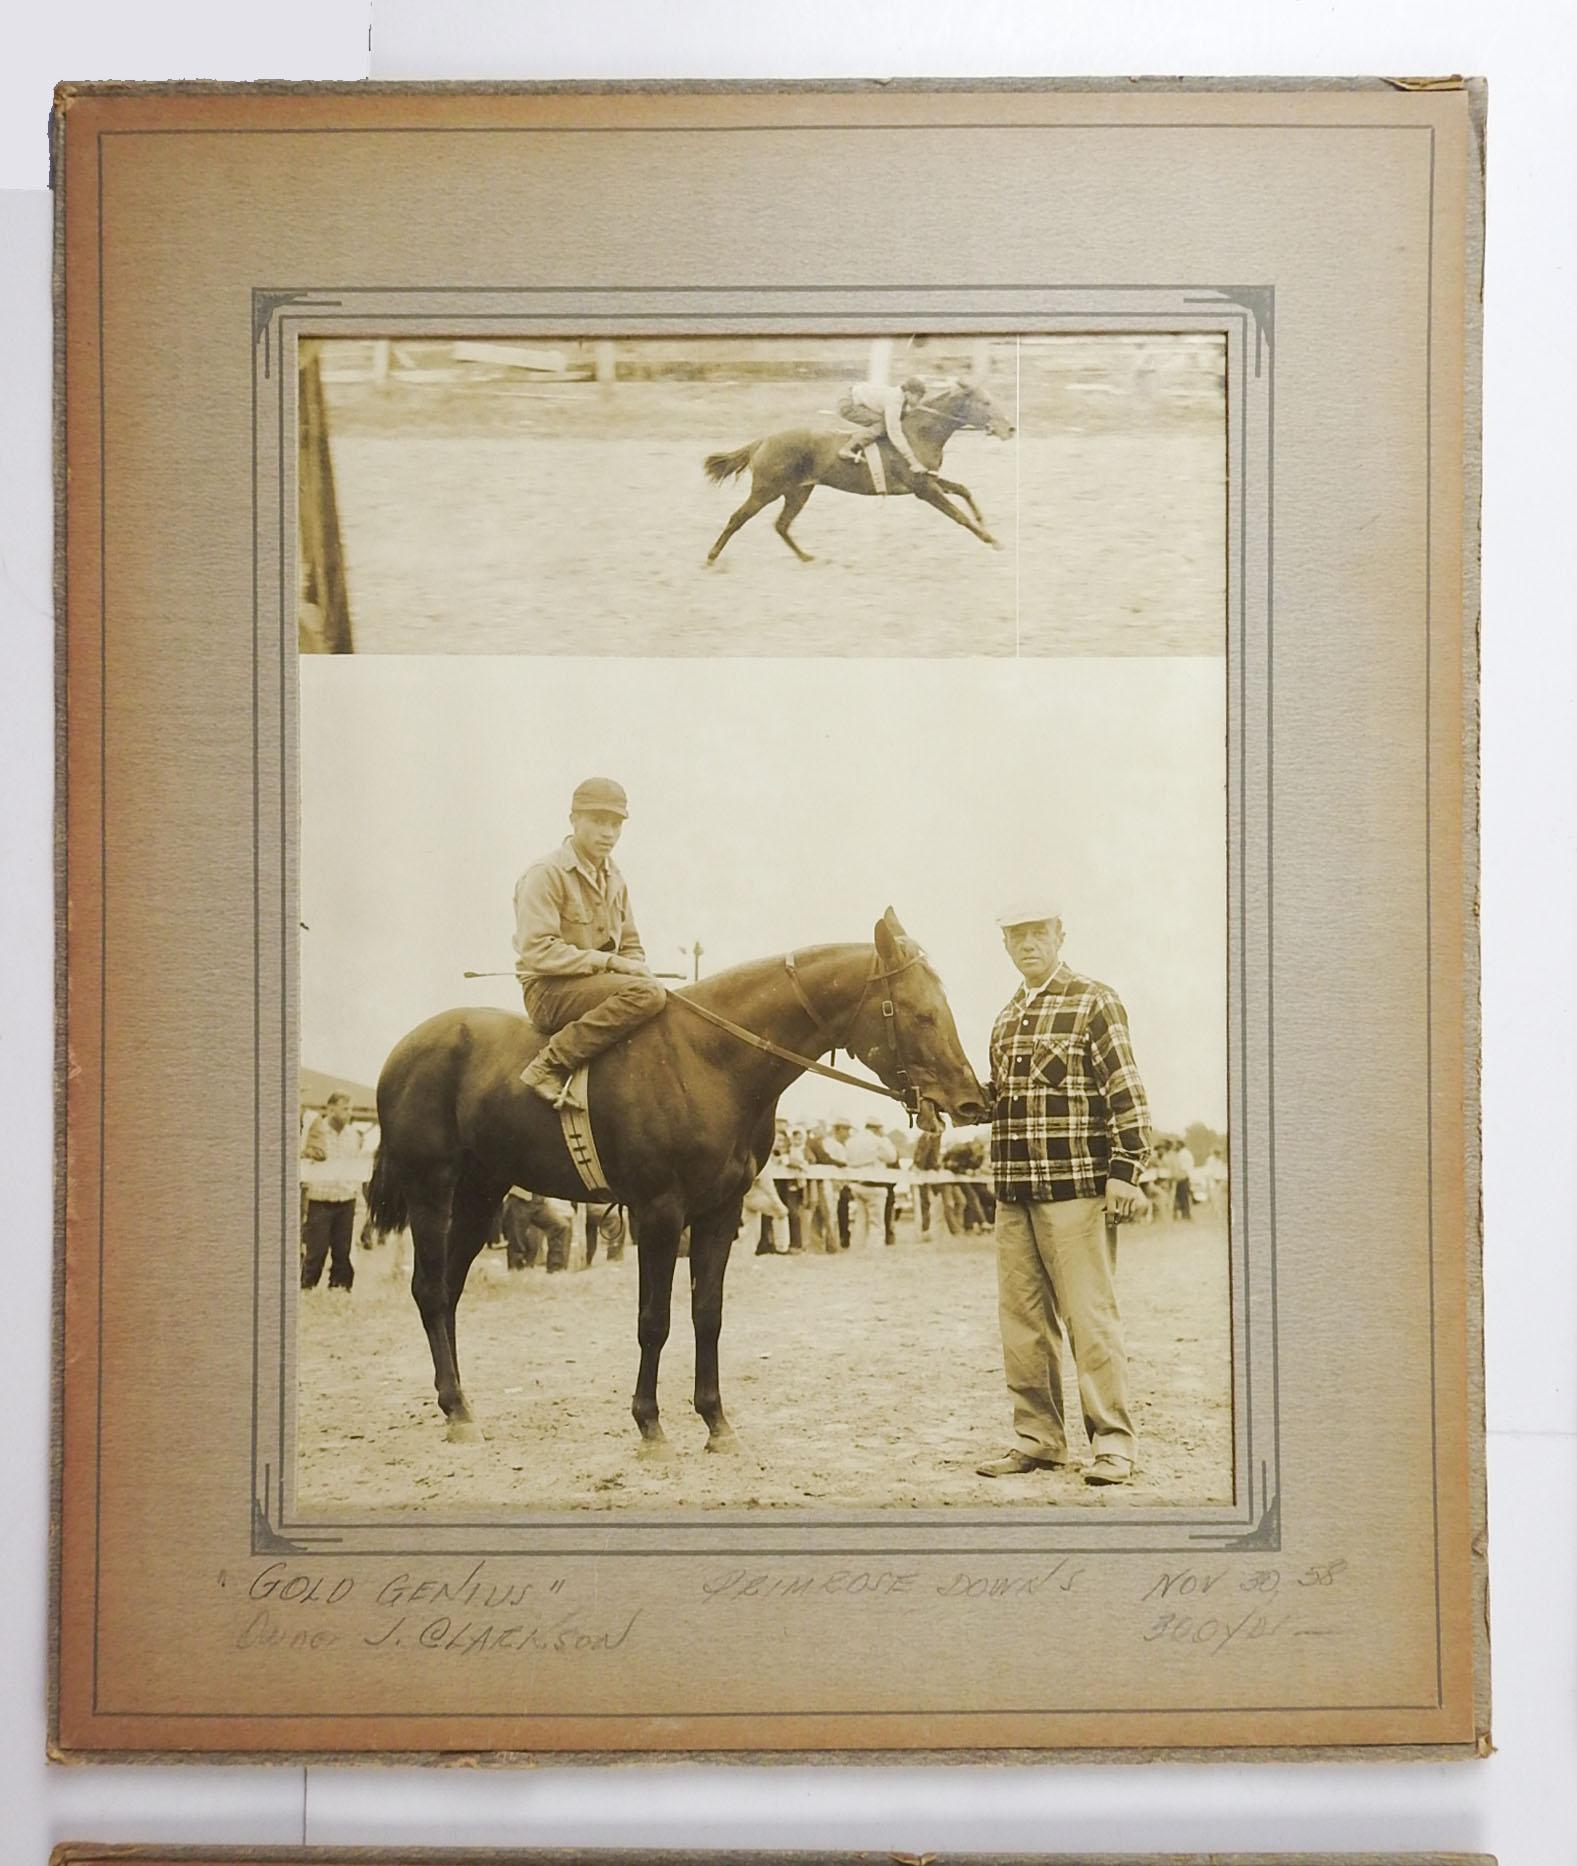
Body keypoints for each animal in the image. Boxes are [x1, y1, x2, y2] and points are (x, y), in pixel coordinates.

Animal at [363, 910, 992, 1448]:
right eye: (920, 1012)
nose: (972, 1100)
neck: (709, 1061)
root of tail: (404, 1050)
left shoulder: (719, 1214)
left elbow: (706, 1315)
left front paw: (715, 1422)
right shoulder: (660, 1214)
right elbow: (654, 1320)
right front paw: (650, 1423)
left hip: (479, 1193)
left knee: (448, 1291)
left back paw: (459, 1404)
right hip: (432, 1190)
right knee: (428, 1289)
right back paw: (456, 1410)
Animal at [697, 373, 1007, 559]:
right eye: (985, 402)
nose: (1010, 428)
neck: (919, 433)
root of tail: (763, 440)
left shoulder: (930, 478)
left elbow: (964, 489)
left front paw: (986, 523)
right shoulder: (923, 488)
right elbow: (958, 515)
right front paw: (990, 539)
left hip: (798, 491)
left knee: (781, 525)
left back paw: (807, 558)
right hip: (766, 490)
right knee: (737, 518)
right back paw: (711, 558)